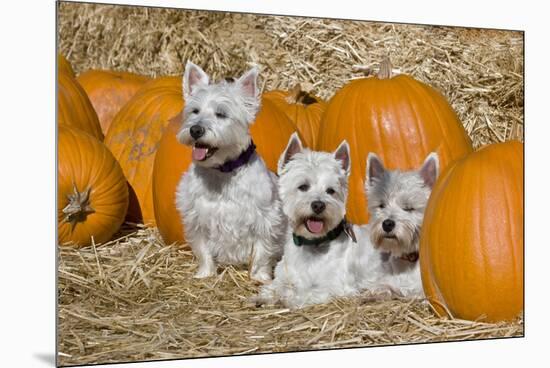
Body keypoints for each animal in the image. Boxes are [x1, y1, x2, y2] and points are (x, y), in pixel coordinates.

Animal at [253, 134, 362, 310]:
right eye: (303, 186)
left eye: (331, 191)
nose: (318, 205)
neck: (311, 244)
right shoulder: (283, 275)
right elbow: (274, 286)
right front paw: (262, 297)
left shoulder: (335, 287)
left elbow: (303, 293)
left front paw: (286, 298)